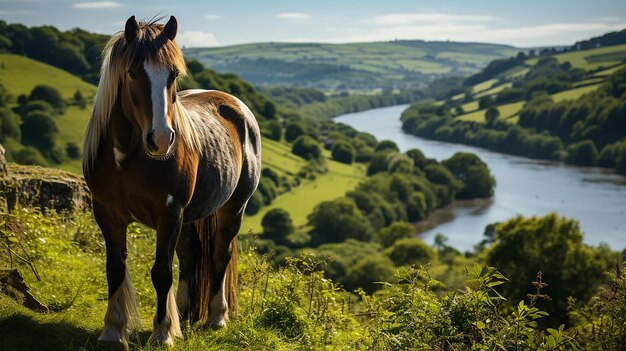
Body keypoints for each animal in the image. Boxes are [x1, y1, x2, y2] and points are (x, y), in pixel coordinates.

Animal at [81, 15, 260, 346]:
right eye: (132, 72)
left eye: (174, 74)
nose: (162, 139)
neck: (128, 156)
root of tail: (235, 104)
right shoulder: (107, 213)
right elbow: (115, 269)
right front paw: (112, 330)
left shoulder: (169, 213)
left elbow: (162, 271)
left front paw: (162, 332)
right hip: (189, 217)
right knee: (191, 256)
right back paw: (186, 313)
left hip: (233, 208)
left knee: (219, 255)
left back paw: (216, 317)